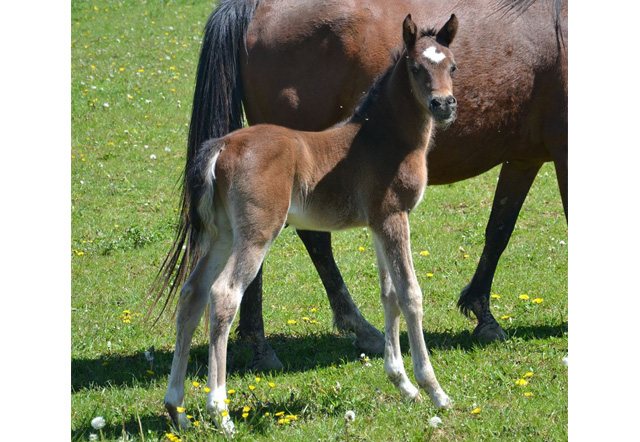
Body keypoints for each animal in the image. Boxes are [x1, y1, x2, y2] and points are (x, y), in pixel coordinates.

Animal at [151, 0, 568, 371]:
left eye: (454, 65)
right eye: (415, 67)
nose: (446, 106)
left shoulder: (523, 156)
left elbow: (498, 229)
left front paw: (482, 314)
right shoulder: (561, 148)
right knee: (288, 252)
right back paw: (272, 347)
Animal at [161, 14, 459, 431]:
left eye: (452, 66)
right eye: (416, 68)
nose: (444, 104)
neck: (383, 138)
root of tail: (222, 146)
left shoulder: (378, 224)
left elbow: (389, 295)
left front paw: (404, 386)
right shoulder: (394, 217)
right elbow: (410, 294)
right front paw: (434, 391)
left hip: (223, 235)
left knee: (192, 294)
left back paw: (177, 409)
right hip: (256, 233)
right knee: (223, 295)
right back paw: (220, 411)